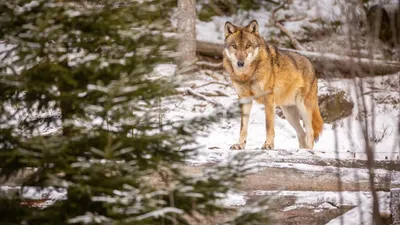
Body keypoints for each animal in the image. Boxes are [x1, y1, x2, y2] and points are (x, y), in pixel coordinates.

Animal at [223, 19, 324, 149]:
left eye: (248, 46)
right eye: (234, 46)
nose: (240, 63)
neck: (247, 75)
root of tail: (312, 65)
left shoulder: (268, 98)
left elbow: (269, 126)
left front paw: (269, 145)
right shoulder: (244, 99)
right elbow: (243, 128)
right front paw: (240, 145)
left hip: (303, 108)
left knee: (310, 132)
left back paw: (308, 151)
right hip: (289, 114)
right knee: (301, 133)